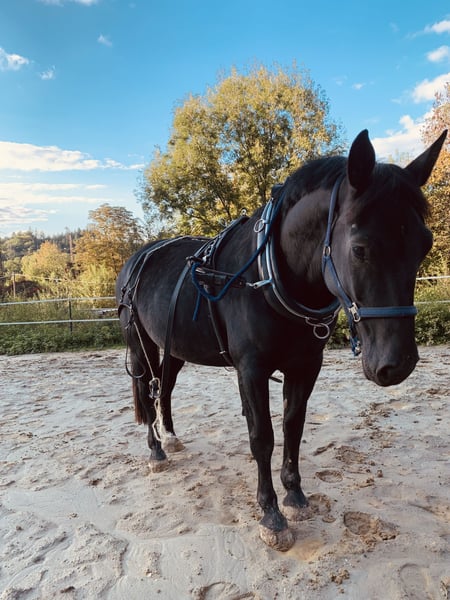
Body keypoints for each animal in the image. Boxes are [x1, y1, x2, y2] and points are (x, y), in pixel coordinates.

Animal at [116, 129, 446, 551]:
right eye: (360, 248)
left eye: (425, 244)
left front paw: (294, 495)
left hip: (174, 344)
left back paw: (171, 437)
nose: (398, 363)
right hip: (139, 340)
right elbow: (262, 437)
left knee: (166, 387)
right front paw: (271, 513)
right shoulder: (251, 369)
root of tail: (139, 256)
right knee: (147, 387)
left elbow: (293, 425)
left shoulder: (305, 366)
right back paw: (156, 449)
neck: (265, 275)